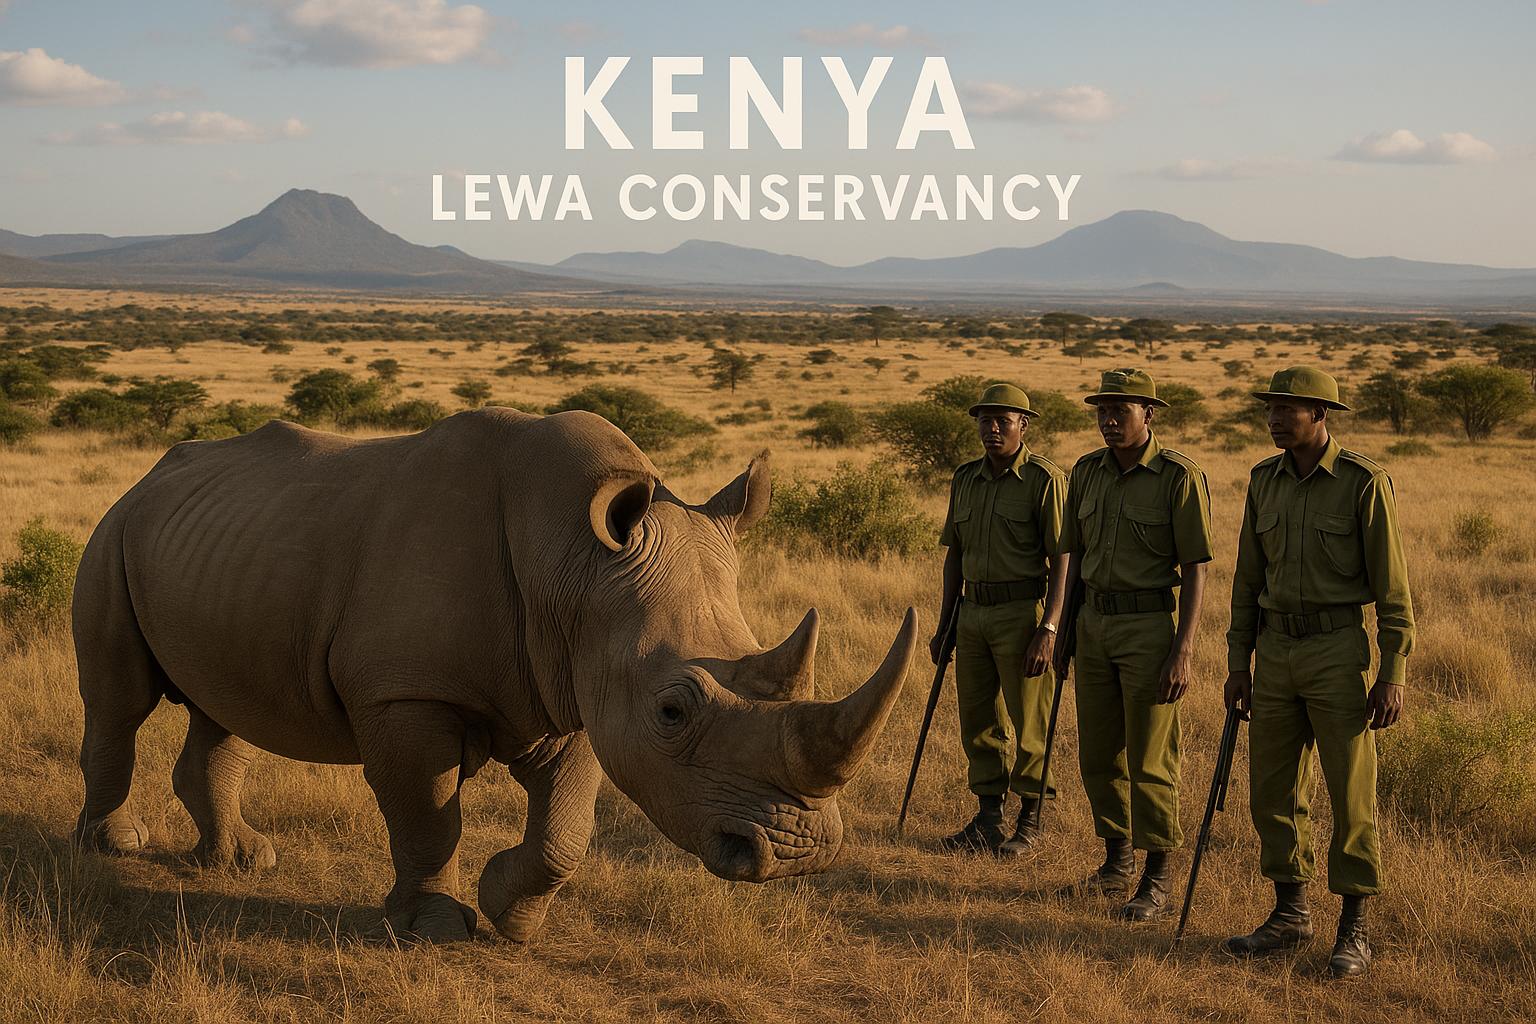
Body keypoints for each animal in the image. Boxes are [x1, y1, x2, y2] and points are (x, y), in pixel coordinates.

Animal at [70, 408, 916, 942]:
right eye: (672, 711)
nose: (801, 851)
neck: (574, 564)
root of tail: (147, 478)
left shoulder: (578, 679)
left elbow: (567, 828)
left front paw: (511, 916)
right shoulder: (407, 693)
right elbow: (427, 814)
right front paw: (433, 928)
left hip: (226, 548)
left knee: (226, 707)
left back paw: (240, 860)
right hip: (114, 530)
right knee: (119, 702)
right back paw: (111, 848)